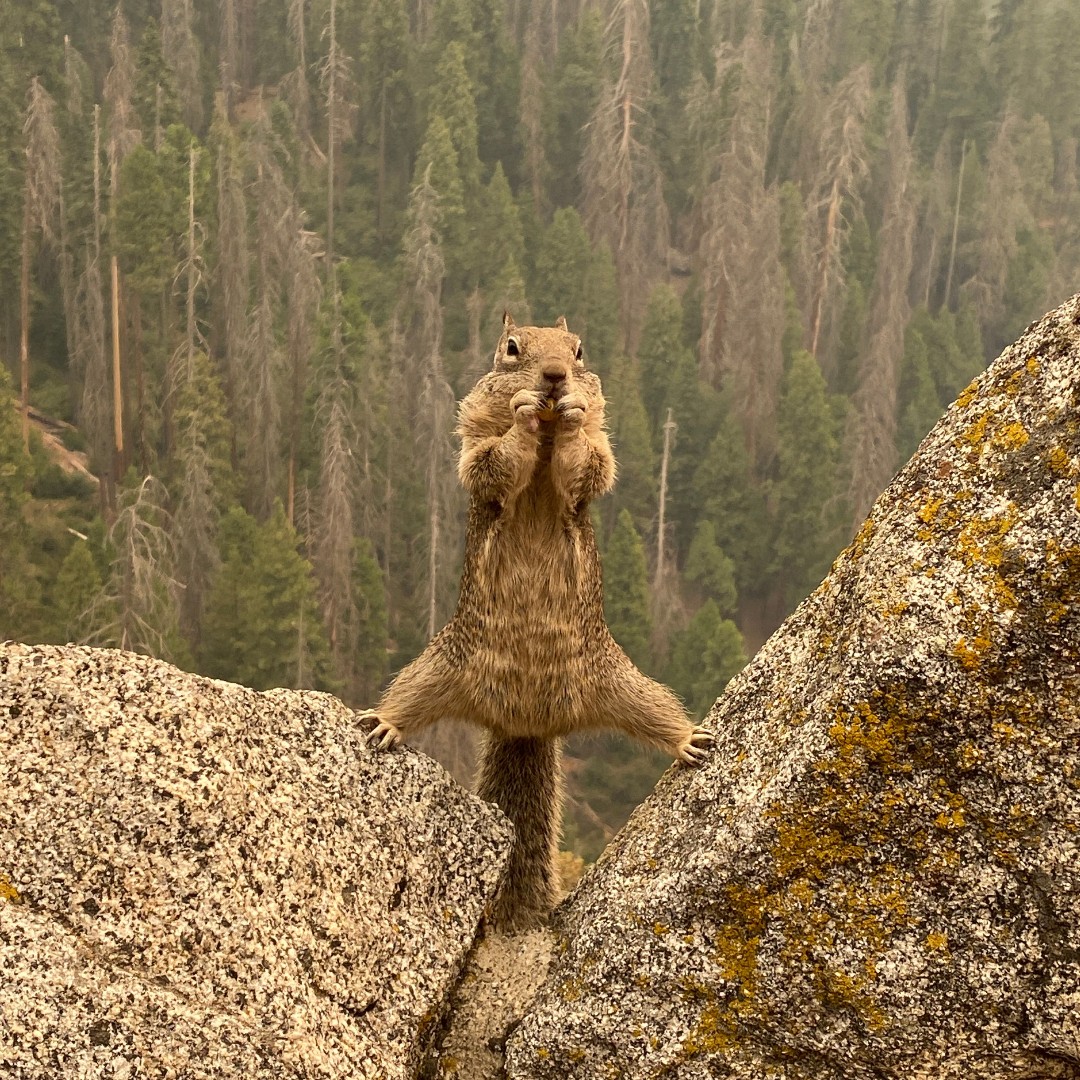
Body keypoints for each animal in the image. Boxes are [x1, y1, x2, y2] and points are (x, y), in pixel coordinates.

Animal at [363, 314, 712, 930]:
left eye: (579, 350)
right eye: (511, 348)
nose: (553, 376)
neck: (546, 444)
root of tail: (527, 724)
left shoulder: (597, 447)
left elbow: (590, 464)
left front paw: (568, 413)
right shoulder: (474, 442)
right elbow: (491, 463)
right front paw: (526, 409)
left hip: (621, 682)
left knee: (656, 710)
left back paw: (687, 739)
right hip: (438, 668)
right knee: (408, 697)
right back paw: (385, 723)